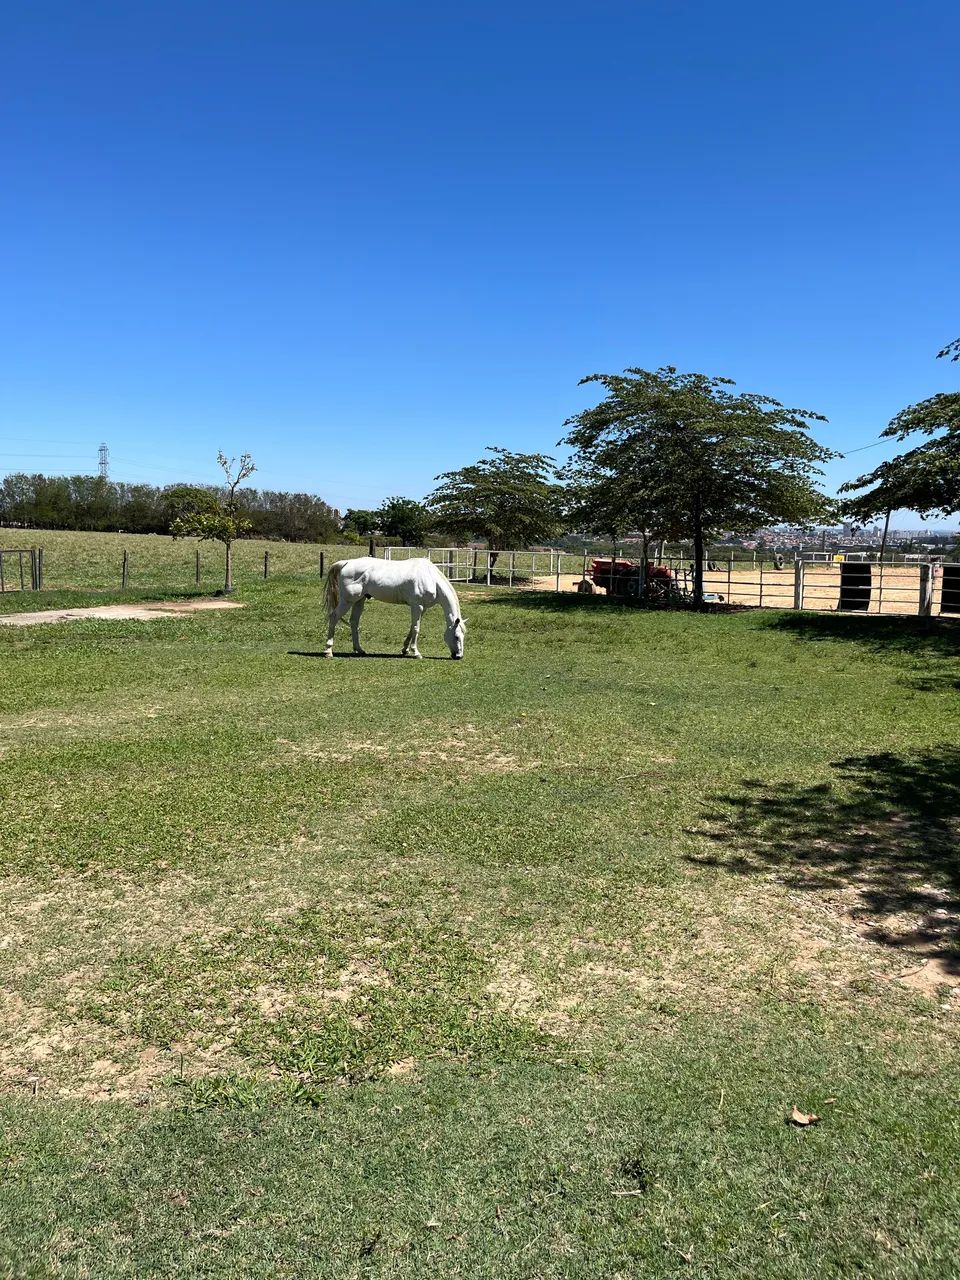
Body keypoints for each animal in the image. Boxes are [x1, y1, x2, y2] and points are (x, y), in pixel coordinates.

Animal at [322, 557, 466, 659]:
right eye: (456, 637)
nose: (459, 656)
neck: (431, 578)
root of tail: (346, 563)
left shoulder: (422, 608)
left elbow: (412, 627)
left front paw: (405, 649)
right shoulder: (417, 606)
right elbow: (416, 628)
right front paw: (416, 652)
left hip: (359, 600)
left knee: (354, 622)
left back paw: (359, 649)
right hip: (347, 601)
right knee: (334, 617)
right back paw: (328, 651)